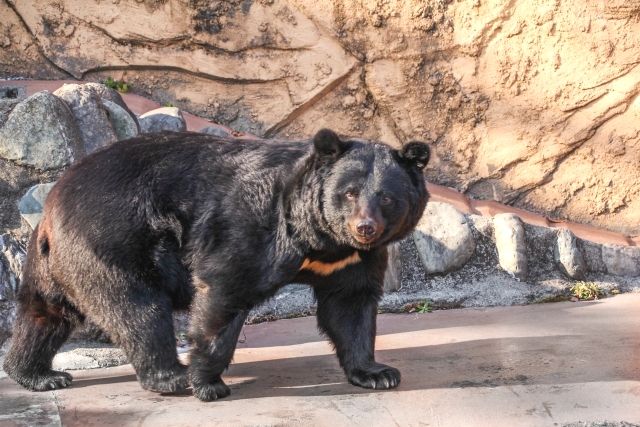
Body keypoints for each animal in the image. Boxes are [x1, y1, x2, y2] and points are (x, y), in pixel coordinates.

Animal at [3, 130, 430, 402]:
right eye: (350, 192)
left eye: (387, 198)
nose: (365, 227)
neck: (321, 241)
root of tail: (52, 204)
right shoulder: (253, 227)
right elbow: (225, 291)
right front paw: (207, 382)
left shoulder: (352, 260)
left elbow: (350, 305)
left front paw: (377, 373)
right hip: (114, 242)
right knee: (138, 310)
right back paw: (170, 377)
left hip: (56, 263)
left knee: (46, 314)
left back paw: (38, 374)